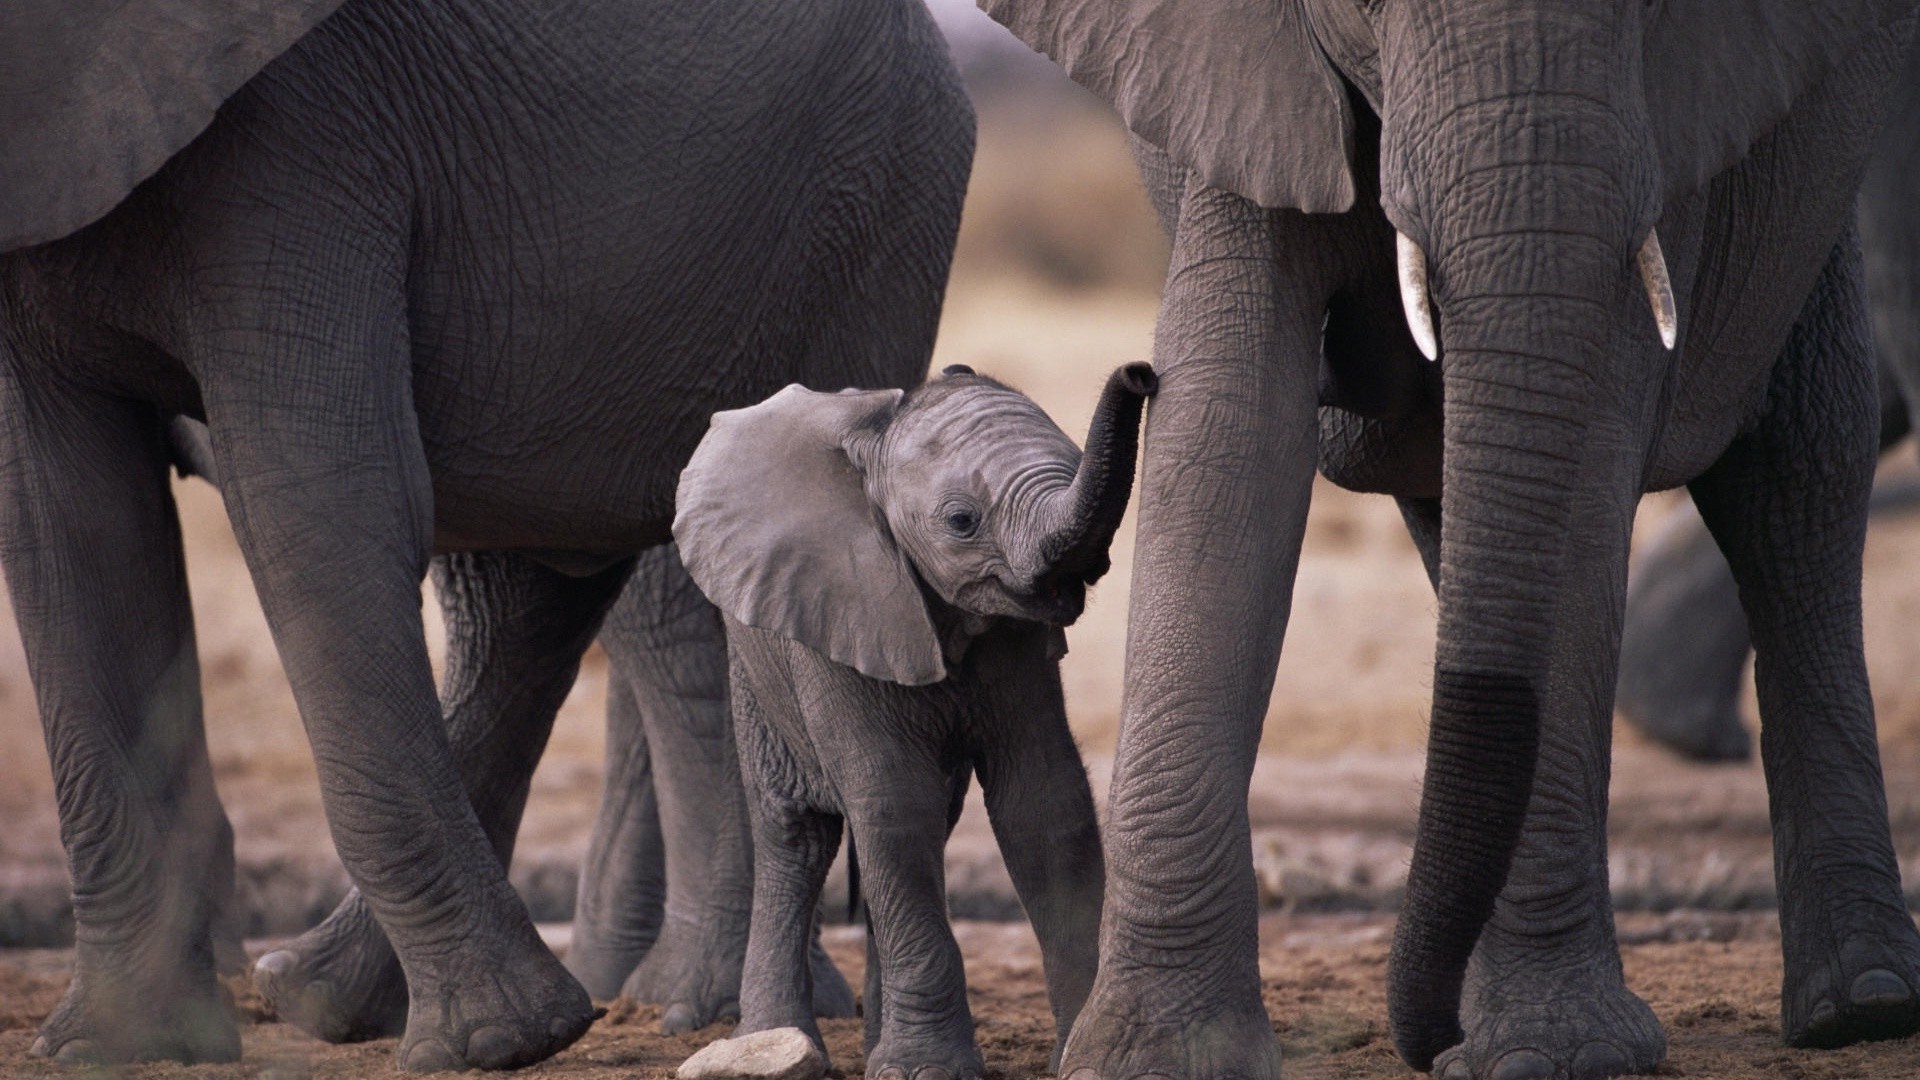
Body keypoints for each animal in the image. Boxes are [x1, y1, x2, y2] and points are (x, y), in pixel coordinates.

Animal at [0, 0, 975, 1060]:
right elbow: (70, 537)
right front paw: (123, 1045)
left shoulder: (302, 143)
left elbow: (319, 505)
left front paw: (503, 1043)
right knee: (536, 592)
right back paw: (317, 995)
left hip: (867, 215)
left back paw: (697, 1012)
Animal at [675, 363, 1152, 1076]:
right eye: (961, 521)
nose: (1141, 373)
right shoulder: (840, 609)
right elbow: (895, 805)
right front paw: (926, 1070)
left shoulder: (1017, 645)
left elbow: (1045, 806)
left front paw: (1076, 1055)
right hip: (755, 663)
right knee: (798, 834)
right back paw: (775, 1041)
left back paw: (875, 1047)